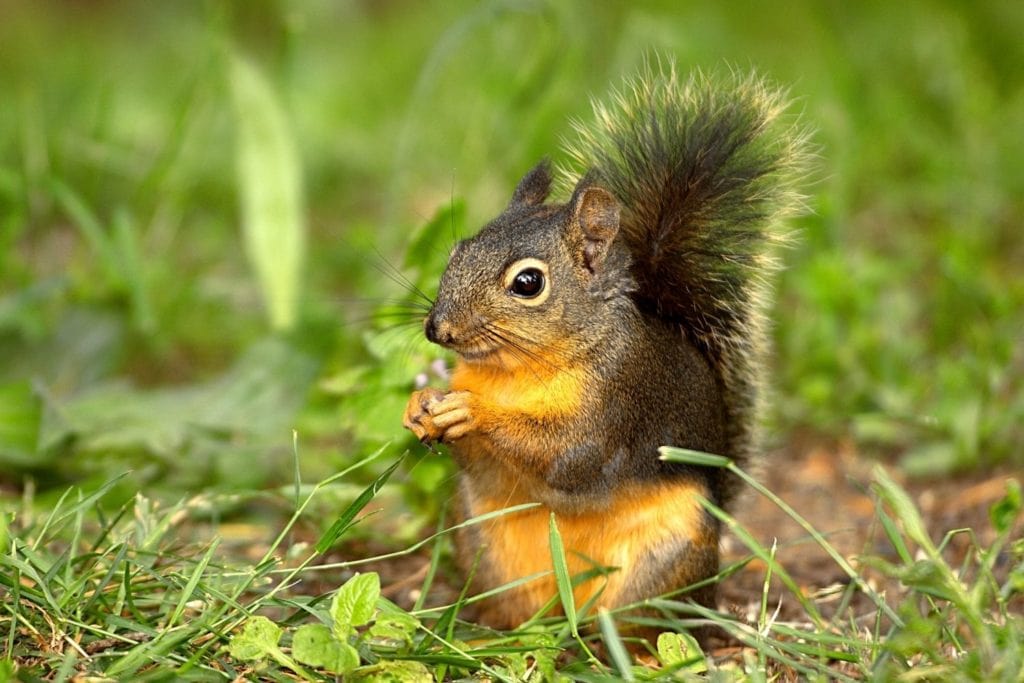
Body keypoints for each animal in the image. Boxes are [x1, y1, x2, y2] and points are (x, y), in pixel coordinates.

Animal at [403, 64, 809, 633]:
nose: (438, 330)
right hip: (483, 542)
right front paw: (420, 406)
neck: (517, 372)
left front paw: (473, 411)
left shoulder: (616, 403)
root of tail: (568, 610)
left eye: (528, 283)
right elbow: (480, 465)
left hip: (664, 560)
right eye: (458, 252)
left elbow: (567, 457)